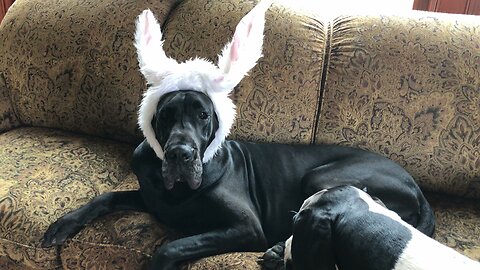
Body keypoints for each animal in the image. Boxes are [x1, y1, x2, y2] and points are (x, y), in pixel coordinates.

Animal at [43, 1, 436, 268]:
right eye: (165, 116)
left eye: (203, 115)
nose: (180, 154)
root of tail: (417, 186)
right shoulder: (152, 195)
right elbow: (107, 196)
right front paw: (62, 225)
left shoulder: (246, 226)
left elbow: (171, 245)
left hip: (322, 177)